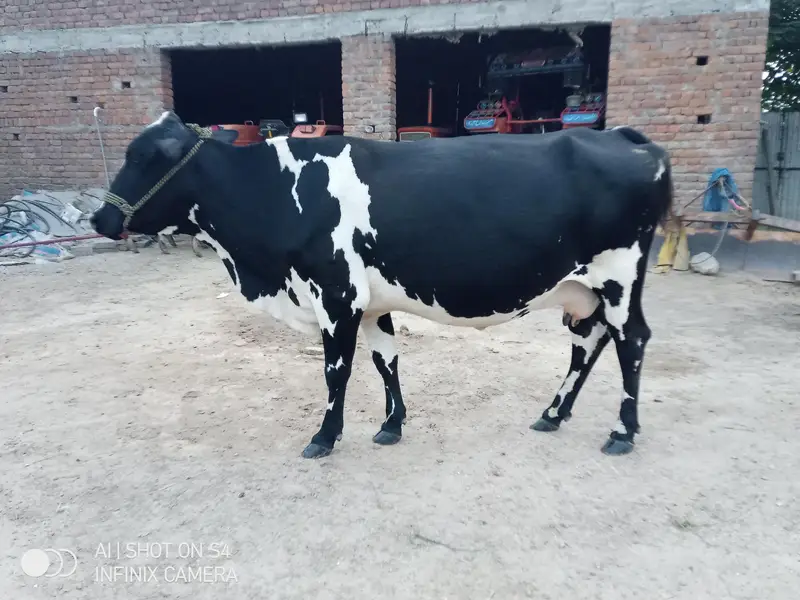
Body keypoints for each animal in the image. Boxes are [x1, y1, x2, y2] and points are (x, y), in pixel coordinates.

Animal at [90, 111, 674, 460]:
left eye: (143, 157)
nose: (99, 218)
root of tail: (619, 135)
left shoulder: (335, 295)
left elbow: (337, 370)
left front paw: (324, 436)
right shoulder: (369, 301)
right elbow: (385, 359)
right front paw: (392, 424)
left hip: (619, 278)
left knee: (632, 342)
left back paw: (622, 432)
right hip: (585, 289)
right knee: (588, 342)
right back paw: (553, 414)